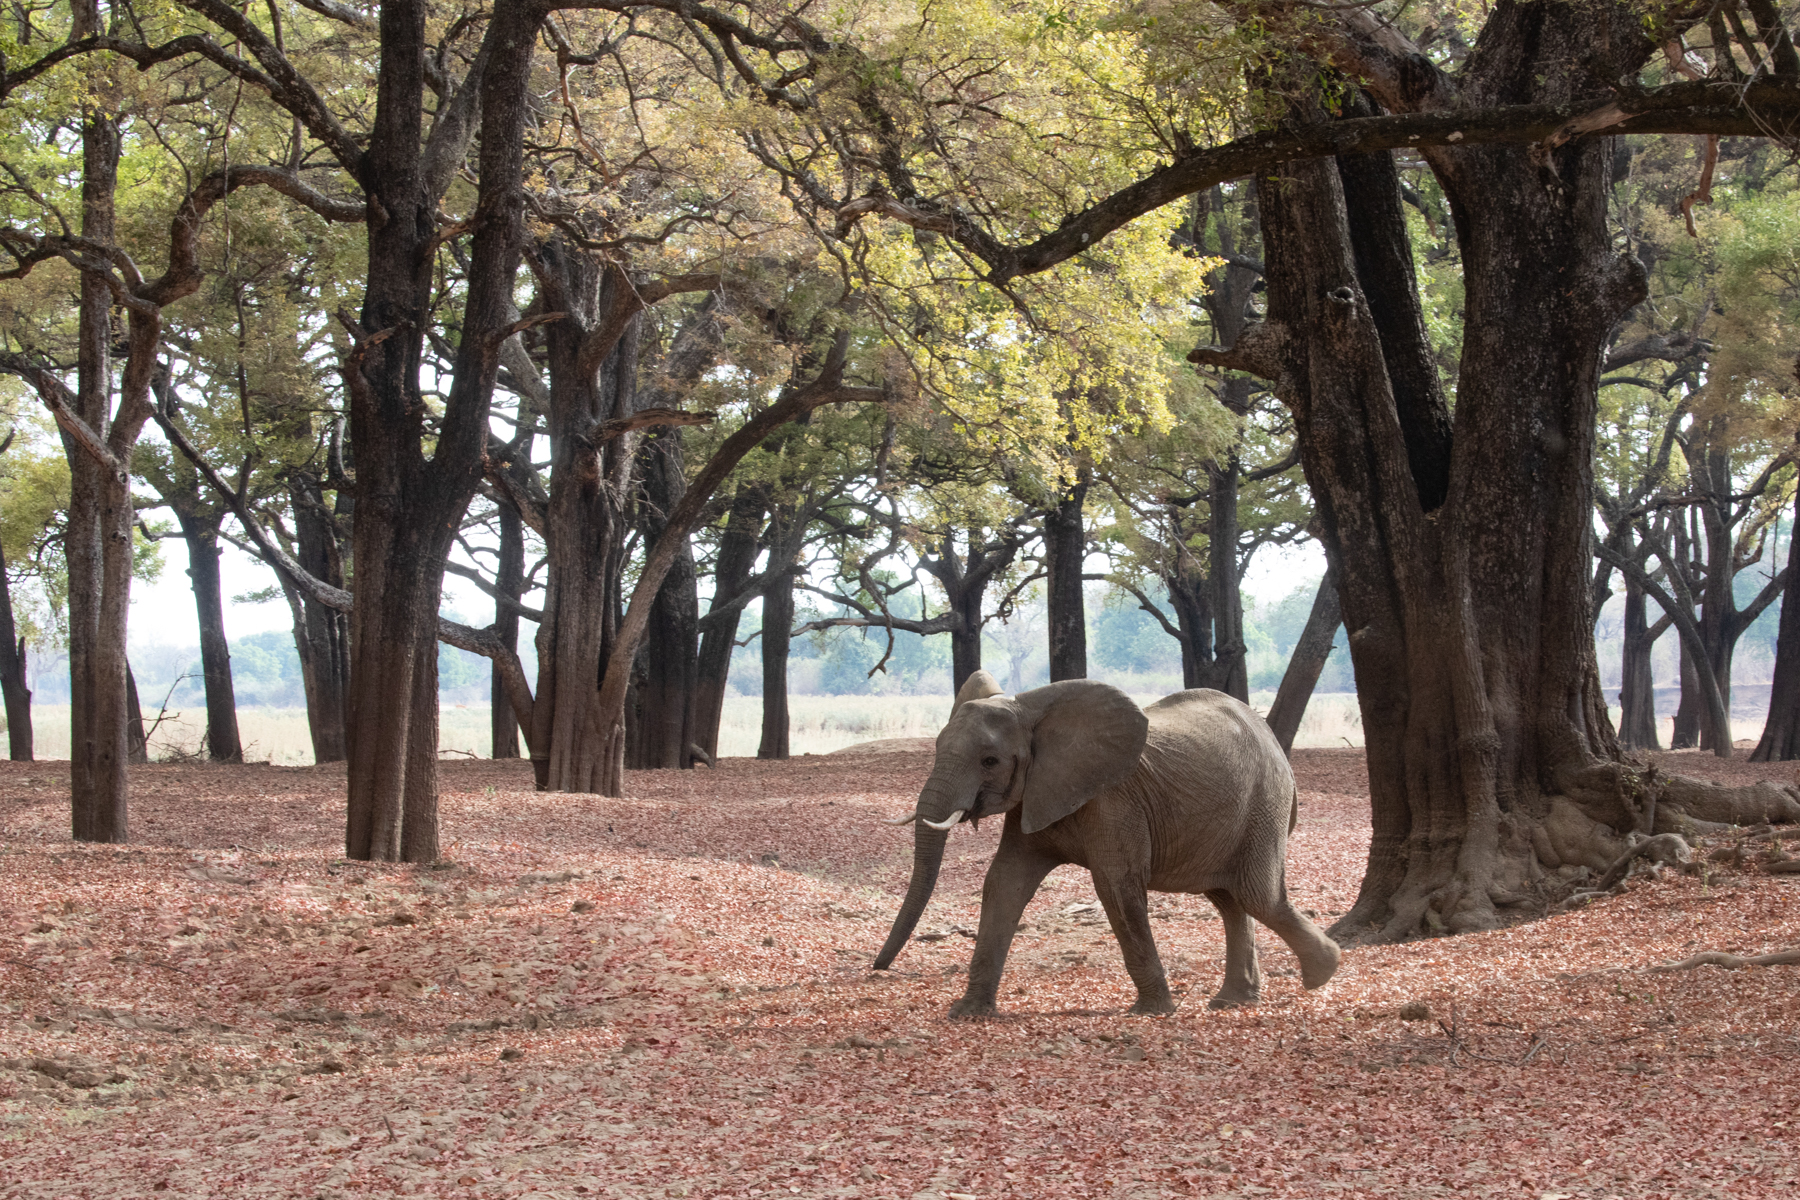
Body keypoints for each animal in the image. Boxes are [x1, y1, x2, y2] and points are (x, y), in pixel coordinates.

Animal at [873, 670, 1341, 1017]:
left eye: (989, 761)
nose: (878, 969)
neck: (1029, 708)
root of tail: (1273, 740)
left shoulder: (1113, 800)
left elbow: (1116, 886)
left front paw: (1153, 1012)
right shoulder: (1036, 794)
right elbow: (1005, 883)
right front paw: (968, 1012)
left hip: (1264, 803)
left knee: (1256, 894)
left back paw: (1323, 972)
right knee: (1229, 899)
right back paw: (1233, 1000)